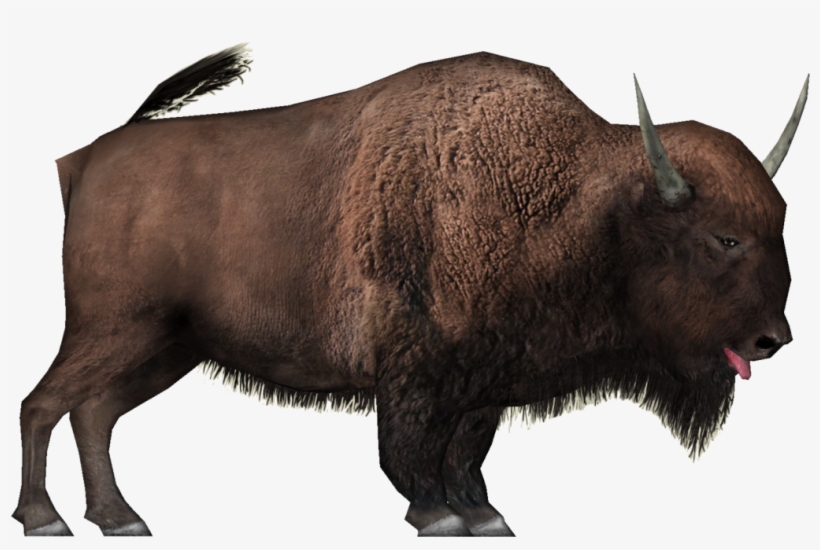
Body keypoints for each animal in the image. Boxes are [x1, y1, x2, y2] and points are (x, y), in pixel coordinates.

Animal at [13, 44, 807, 537]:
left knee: (94, 414)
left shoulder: (486, 380)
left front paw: (484, 515)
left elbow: (465, 454)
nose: (775, 339)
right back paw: (47, 519)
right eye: (724, 237)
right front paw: (439, 516)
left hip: (166, 347)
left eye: (780, 222)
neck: (574, 196)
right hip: (113, 330)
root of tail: (91, 156)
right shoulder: (414, 373)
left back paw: (120, 519)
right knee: (44, 404)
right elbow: (409, 454)